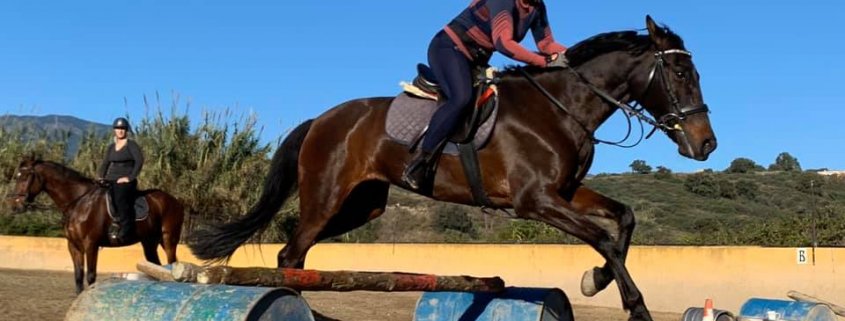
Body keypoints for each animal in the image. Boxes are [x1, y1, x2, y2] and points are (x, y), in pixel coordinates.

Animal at [7, 157, 183, 292]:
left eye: (26, 177)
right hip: (149, 242)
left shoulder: (91, 244)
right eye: (17, 177)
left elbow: (91, 276)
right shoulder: (74, 246)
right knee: (156, 267)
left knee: (171, 262)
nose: (15, 205)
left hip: (168, 239)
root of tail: (174, 201)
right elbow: (78, 276)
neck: (78, 202)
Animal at [190, 16, 712, 320]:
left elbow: (624, 220)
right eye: (681, 74)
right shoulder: (535, 201)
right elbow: (603, 238)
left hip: (362, 206)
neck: (562, 108)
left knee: (296, 254)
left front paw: (596, 280)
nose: (707, 144)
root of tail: (322, 118)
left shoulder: (564, 192)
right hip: (325, 195)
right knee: (291, 253)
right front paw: (632, 304)